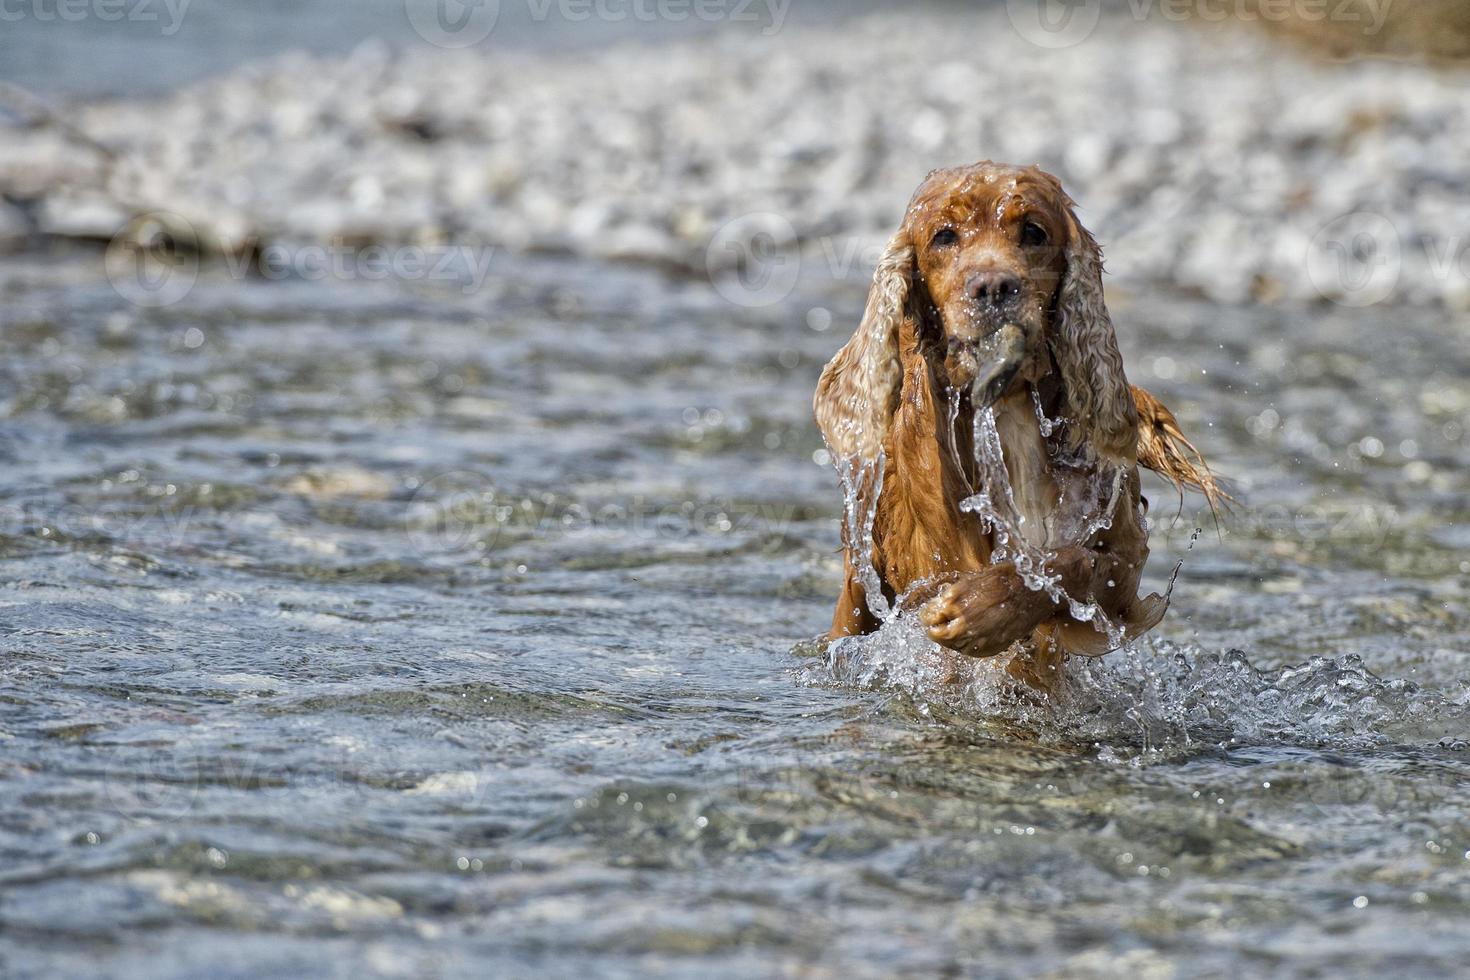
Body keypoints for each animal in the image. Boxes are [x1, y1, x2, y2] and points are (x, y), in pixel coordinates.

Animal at [817, 160, 1217, 690]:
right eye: (944, 236)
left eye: (1033, 231)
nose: (993, 286)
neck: (1010, 407)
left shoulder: (1126, 561)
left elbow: (1072, 564)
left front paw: (982, 610)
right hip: (857, 588)